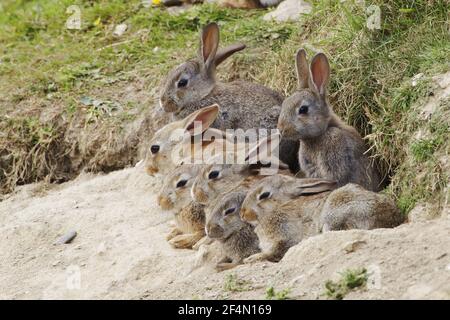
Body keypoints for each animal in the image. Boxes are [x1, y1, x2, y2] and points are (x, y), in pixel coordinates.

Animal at [241, 175, 402, 262]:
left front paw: (251, 259)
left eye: (264, 195)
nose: (242, 214)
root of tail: (389, 218)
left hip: (333, 214)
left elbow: (275, 252)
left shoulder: (285, 235)